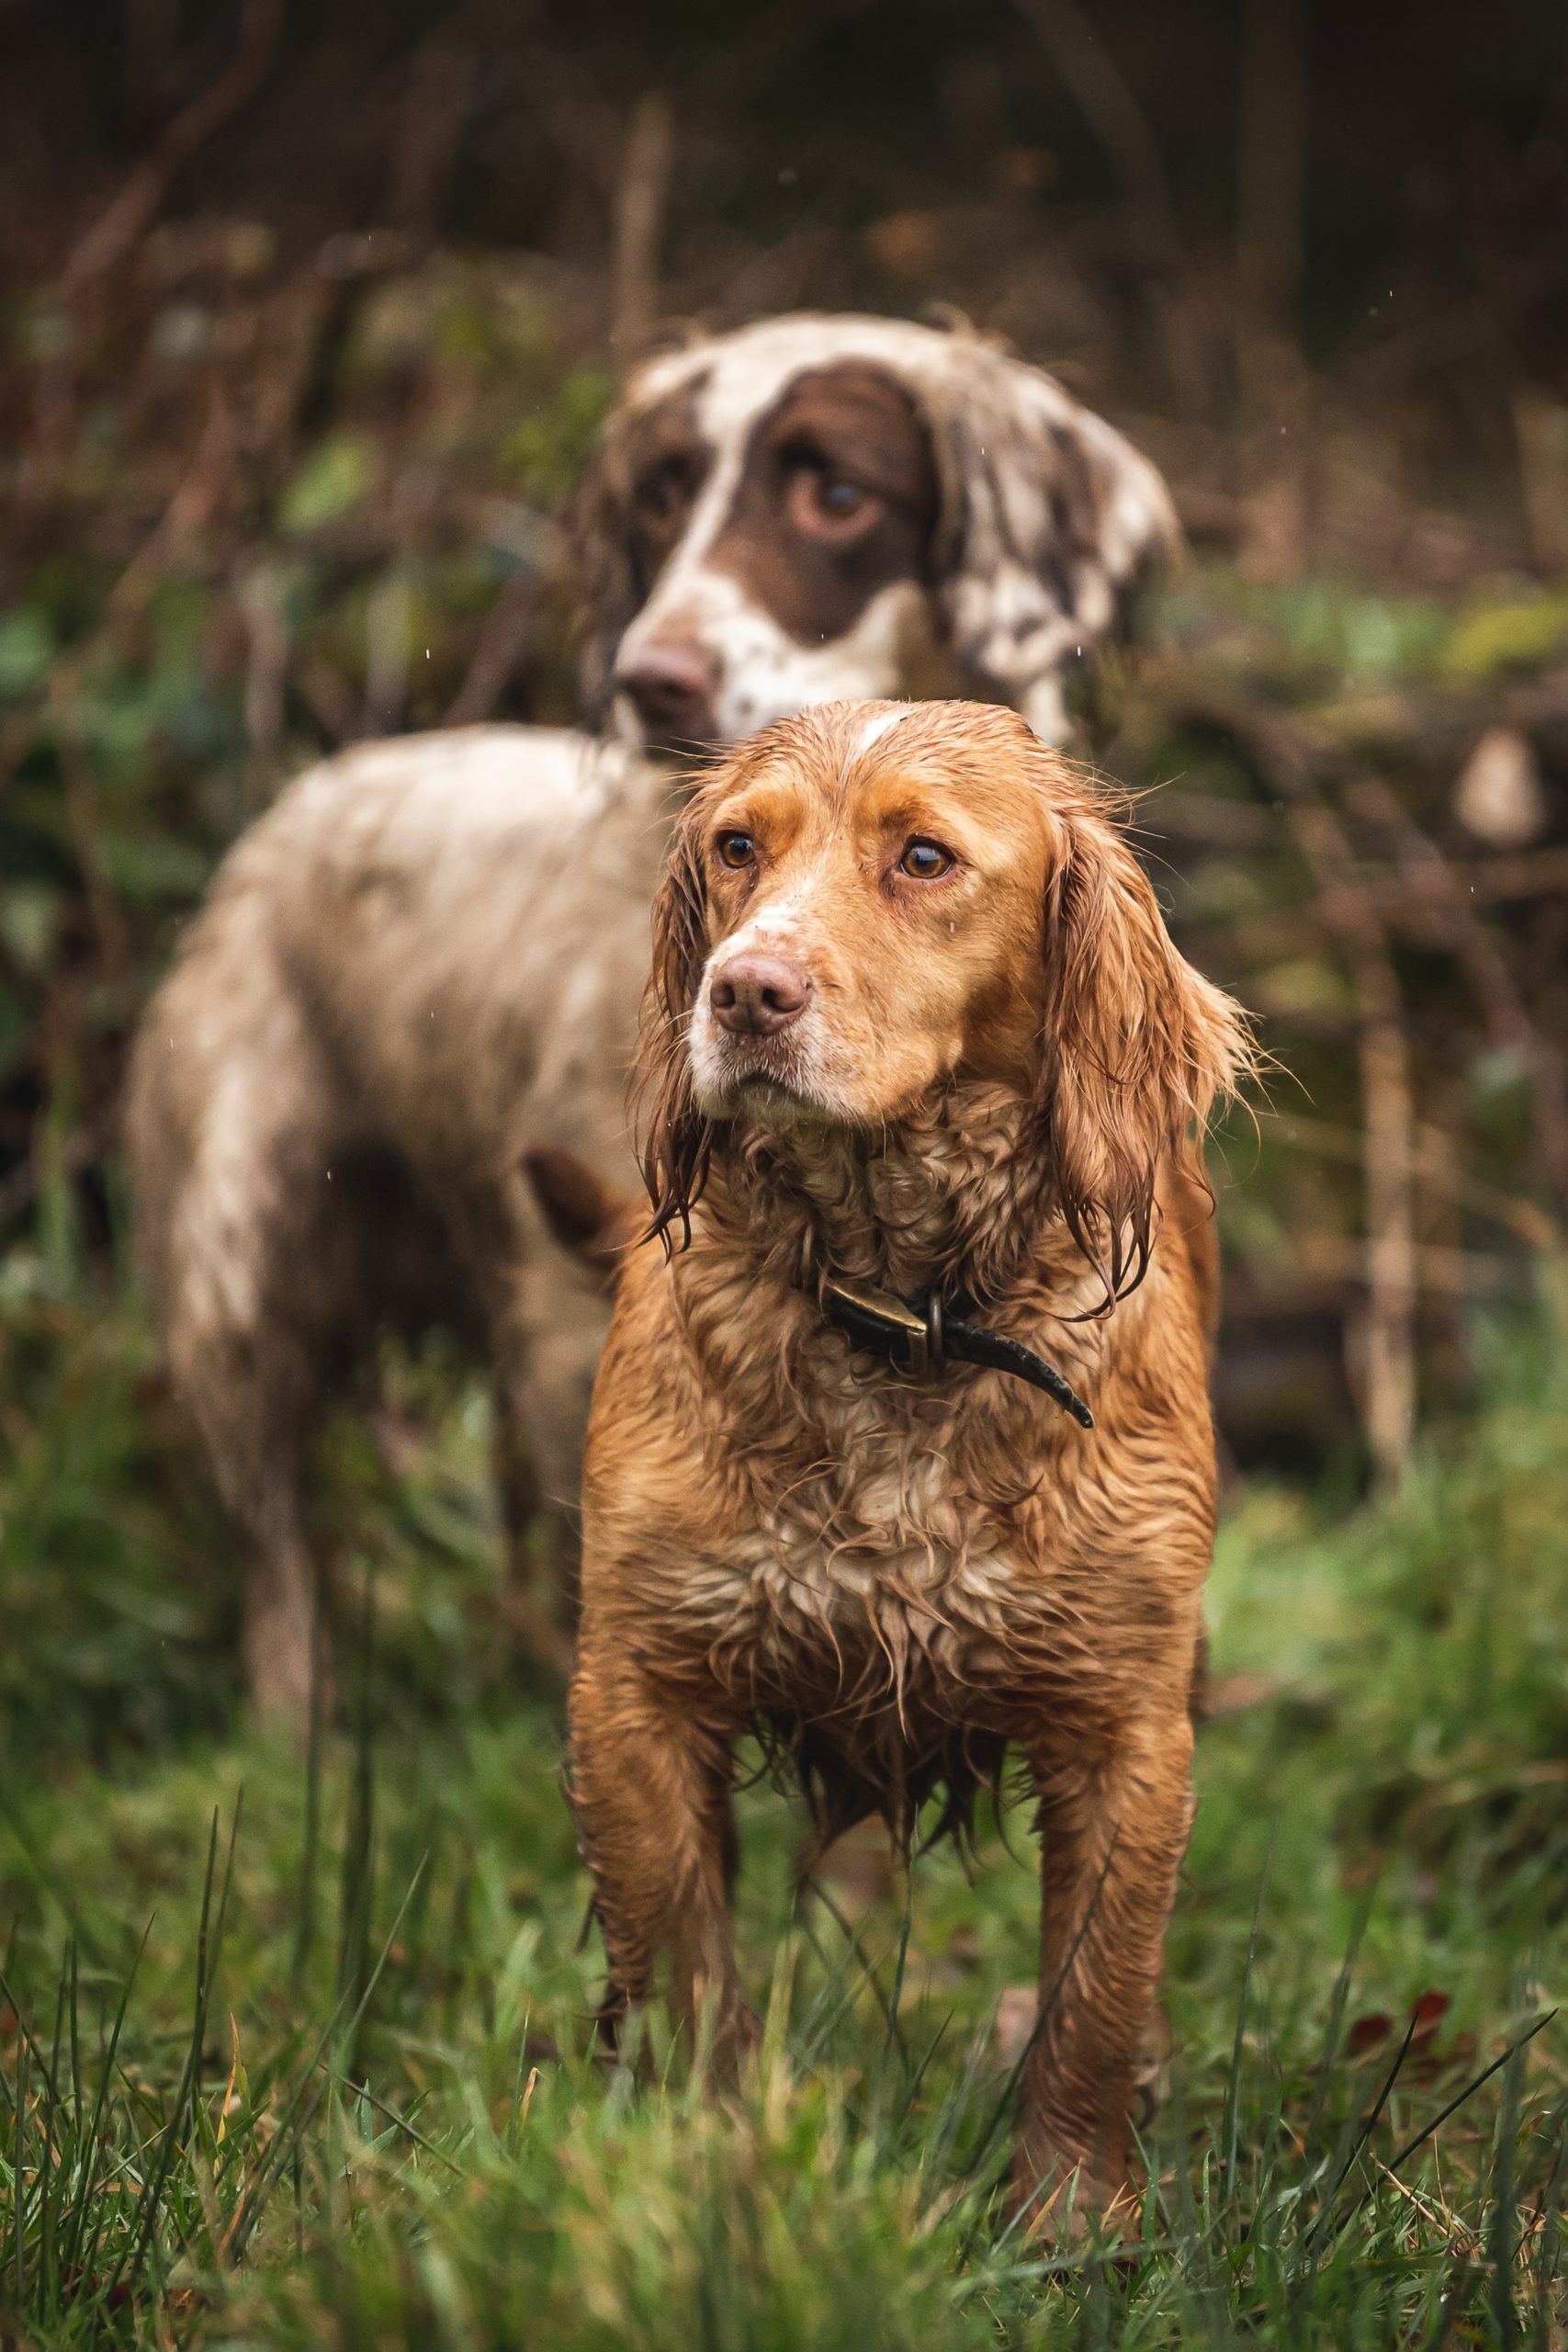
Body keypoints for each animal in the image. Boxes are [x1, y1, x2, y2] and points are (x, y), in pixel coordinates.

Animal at [570, 695, 1259, 2220]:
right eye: (737, 848)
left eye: (924, 858)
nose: (742, 994)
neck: (901, 1316)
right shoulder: (635, 1690)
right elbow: (687, 1979)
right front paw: (704, 2168)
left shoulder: (1126, 1727)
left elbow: (1089, 2001)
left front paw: (1073, 2220)